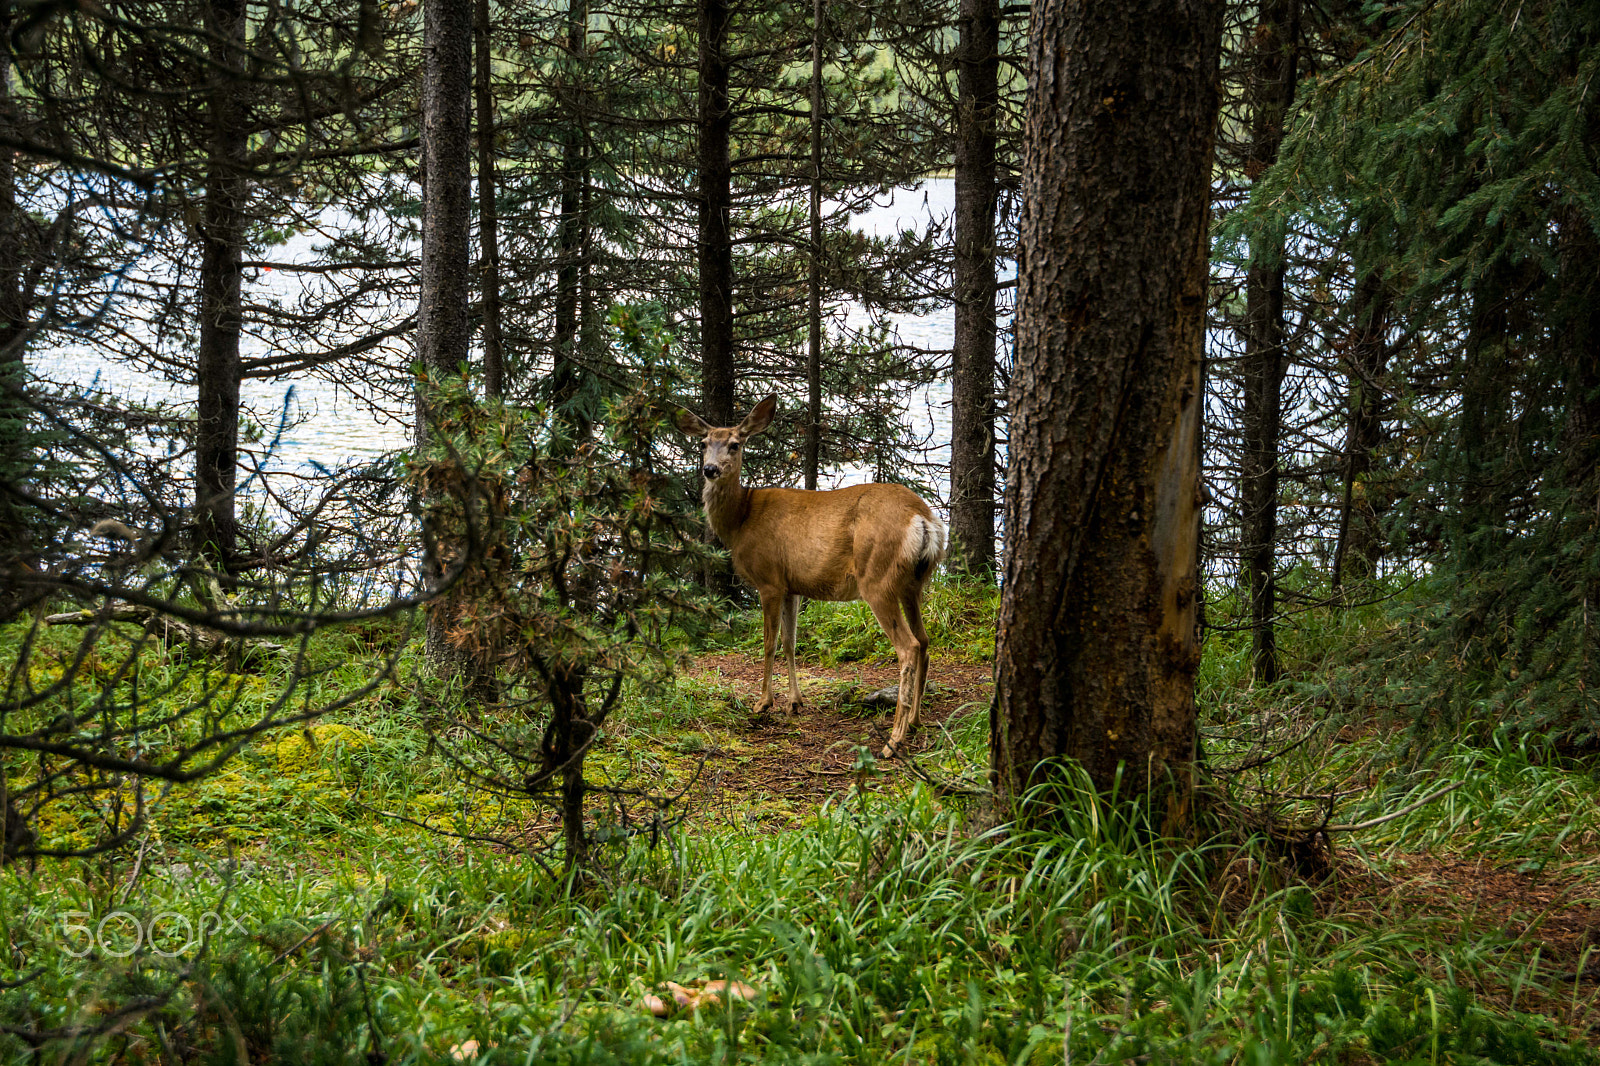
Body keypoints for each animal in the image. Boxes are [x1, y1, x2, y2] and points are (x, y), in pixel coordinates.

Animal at [675, 394, 946, 758]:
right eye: (704, 443)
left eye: (734, 444)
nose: (710, 469)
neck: (740, 520)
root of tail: (923, 518)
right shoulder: (792, 585)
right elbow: (790, 643)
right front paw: (795, 701)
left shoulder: (769, 579)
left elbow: (768, 643)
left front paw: (763, 702)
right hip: (913, 583)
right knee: (926, 640)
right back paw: (915, 721)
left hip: (877, 578)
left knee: (909, 646)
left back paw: (893, 741)